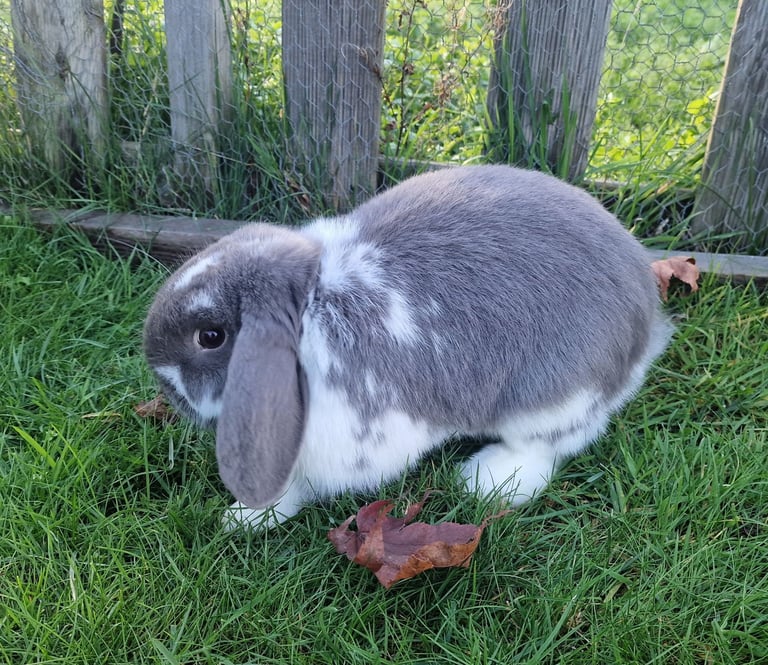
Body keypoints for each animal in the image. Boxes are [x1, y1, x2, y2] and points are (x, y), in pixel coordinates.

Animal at [143, 165, 672, 530]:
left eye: (210, 336)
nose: (162, 382)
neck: (311, 308)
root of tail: (645, 314)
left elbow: (301, 484)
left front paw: (246, 517)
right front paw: (242, 518)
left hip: (551, 399)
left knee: (548, 449)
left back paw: (483, 479)